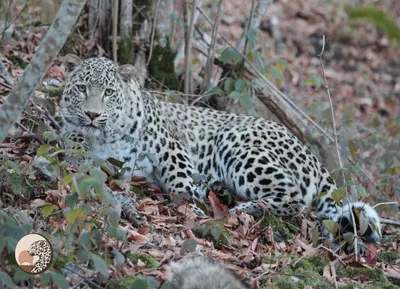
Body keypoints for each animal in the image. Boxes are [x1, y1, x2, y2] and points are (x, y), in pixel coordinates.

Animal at [58, 54, 382, 248]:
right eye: (82, 88)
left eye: (109, 92)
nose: (91, 114)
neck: (105, 135)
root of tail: (311, 154)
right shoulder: (76, 140)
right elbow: (77, 151)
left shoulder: (172, 148)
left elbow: (180, 184)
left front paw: (191, 207)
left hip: (236, 142)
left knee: (294, 198)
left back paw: (242, 209)